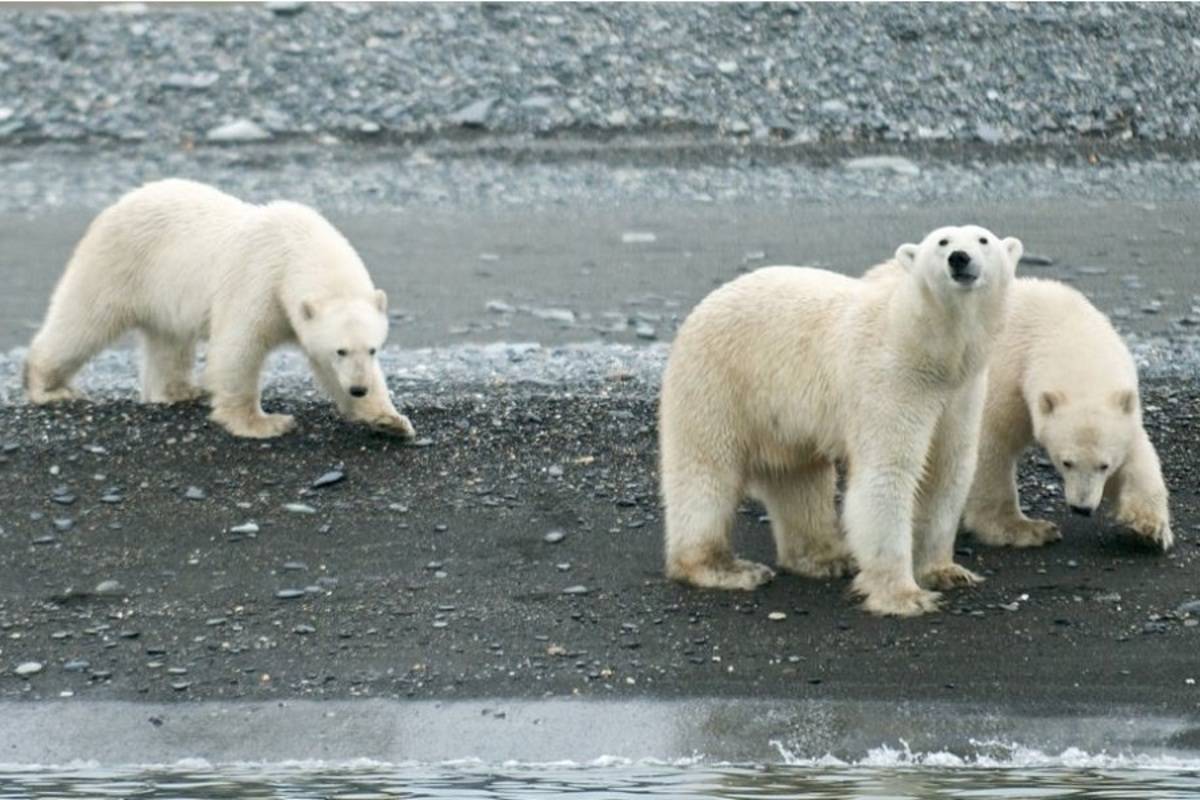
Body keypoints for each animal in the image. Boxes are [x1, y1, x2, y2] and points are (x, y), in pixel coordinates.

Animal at [21, 178, 417, 441]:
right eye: (341, 350)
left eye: (373, 349)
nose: (359, 389)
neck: (297, 250)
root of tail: (121, 201)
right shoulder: (260, 282)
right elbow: (238, 349)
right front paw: (264, 423)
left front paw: (390, 420)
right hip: (118, 263)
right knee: (84, 320)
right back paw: (48, 387)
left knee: (169, 340)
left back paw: (179, 391)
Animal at [657, 225, 1022, 618]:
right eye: (942, 242)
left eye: (983, 240)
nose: (960, 258)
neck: (929, 347)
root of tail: (700, 308)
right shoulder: (893, 379)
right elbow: (888, 473)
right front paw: (904, 595)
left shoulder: (961, 392)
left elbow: (946, 469)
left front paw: (946, 571)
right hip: (718, 383)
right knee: (706, 475)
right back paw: (725, 568)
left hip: (781, 418)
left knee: (800, 480)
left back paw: (824, 557)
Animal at [960, 278, 1176, 554]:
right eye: (1066, 462)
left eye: (1105, 465)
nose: (1081, 508)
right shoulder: (1001, 381)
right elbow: (989, 444)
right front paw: (1026, 529)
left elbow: (1137, 454)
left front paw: (1149, 528)